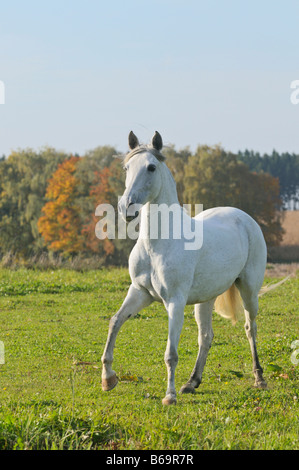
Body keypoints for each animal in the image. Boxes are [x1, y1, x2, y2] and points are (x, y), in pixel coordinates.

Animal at [102, 131, 268, 404]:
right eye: (127, 167)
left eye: (151, 167)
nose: (127, 207)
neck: (158, 243)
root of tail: (244, 218)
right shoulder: (139, 293)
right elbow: (115, 322)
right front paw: (108, 378)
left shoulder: (174, 302)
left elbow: (170, 352)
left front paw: (169, 396)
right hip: (206, 299)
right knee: (206, 337)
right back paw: (192, 382)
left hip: (249, 291)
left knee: (249, 328)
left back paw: (259, 378)